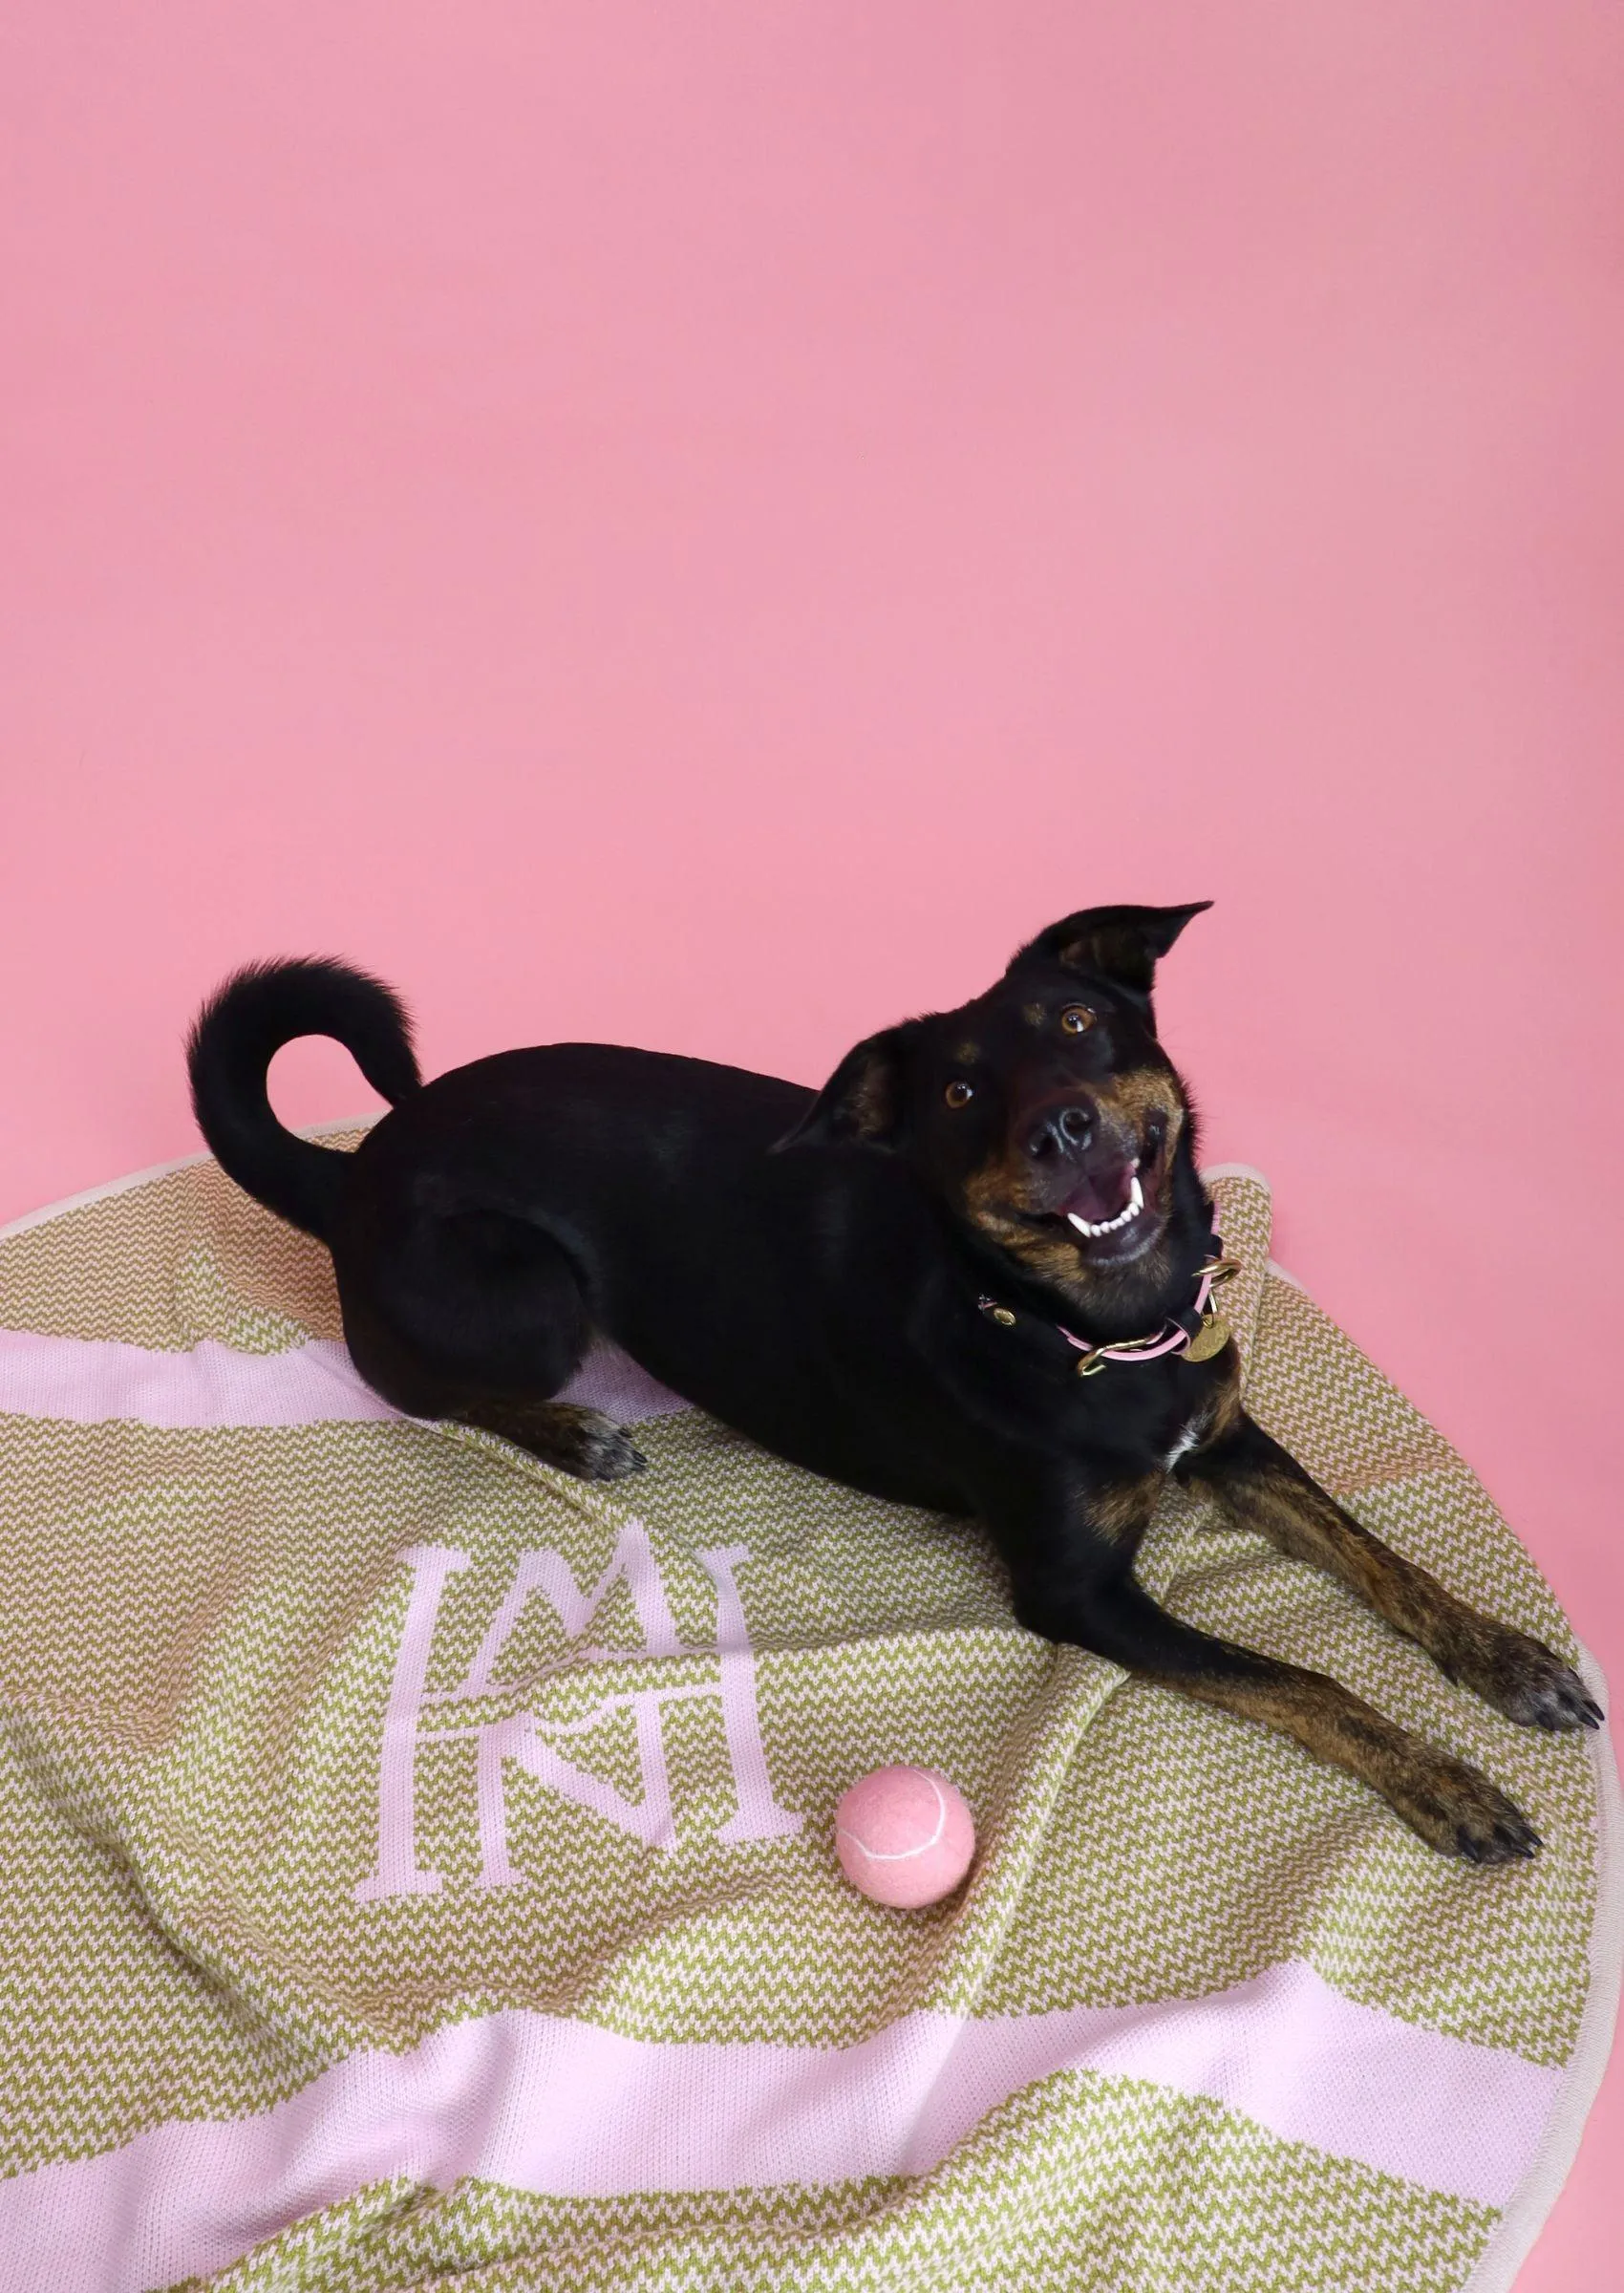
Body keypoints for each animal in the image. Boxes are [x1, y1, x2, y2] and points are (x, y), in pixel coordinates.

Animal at [186, 908, 1596, 1861]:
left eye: (1079, 1025)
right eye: (962, 1089)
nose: (1062, 1126)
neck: (1093, 1334)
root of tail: (354, 1170)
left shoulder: (1230, 1440)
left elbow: (1379, 1559)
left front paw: (1508, 1658)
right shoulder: (1078, 1595)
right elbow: (1304, 1680)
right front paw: (1445, 1782)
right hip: (534, 1298)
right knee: (418, 1386)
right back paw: (577, 1434)